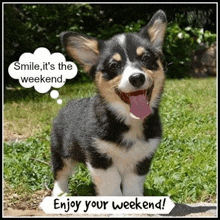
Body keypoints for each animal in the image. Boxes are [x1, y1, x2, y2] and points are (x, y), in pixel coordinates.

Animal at [51, 9, 168, 196]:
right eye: (114, 65)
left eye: (145, 58)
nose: (137, 78)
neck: (128, 120)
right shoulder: (100, 158)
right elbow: (111, 186)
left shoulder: (141, 160)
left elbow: (132, 186)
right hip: (61, 151)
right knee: (60, 173)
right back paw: (60, 194)